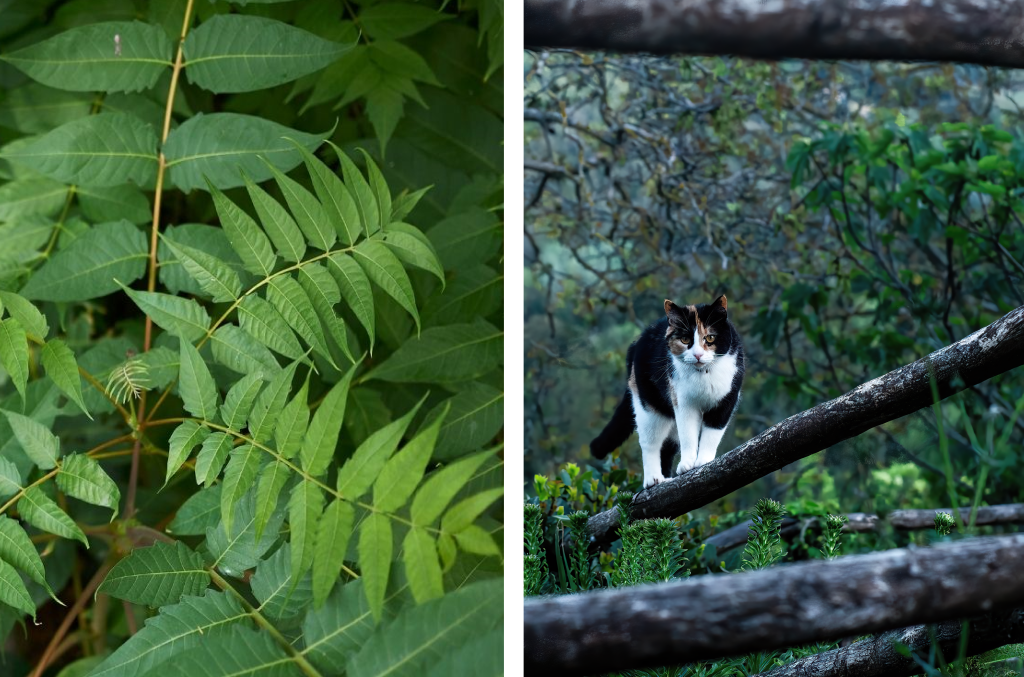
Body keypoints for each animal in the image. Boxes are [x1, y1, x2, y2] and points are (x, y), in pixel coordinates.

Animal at [589, 292, 749, 487]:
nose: (698, 355)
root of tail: (636, 344)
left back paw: (666, 478)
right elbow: (687, 434)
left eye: (710, 338)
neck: (703, 374)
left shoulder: (727, 399)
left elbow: (713, 433)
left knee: (667, 447)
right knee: (650, 443)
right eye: (685, 339)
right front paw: (687, 464)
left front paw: (703, 461)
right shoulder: (683, 402)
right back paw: (653, 479)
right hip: (650, 406)